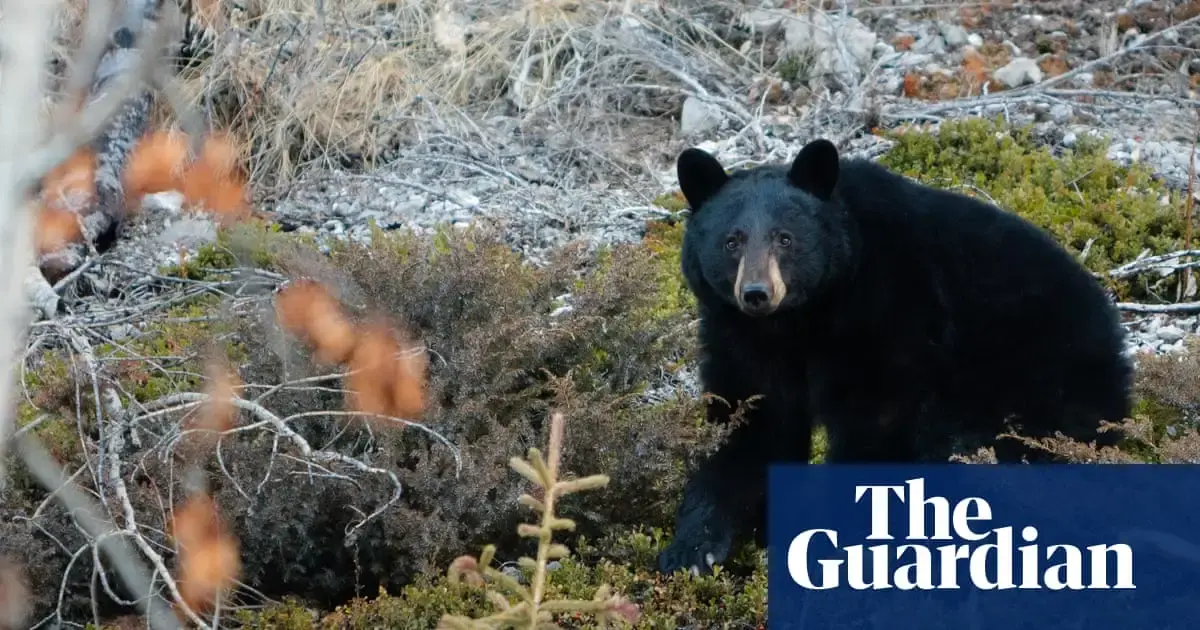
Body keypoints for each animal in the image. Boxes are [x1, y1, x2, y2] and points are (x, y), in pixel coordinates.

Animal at [657, 136, 1132, 573]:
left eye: (785, 239)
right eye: (731, 241)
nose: (756, 293)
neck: (801, 319)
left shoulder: (889, 310)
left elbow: (876, 423)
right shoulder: (740, 336)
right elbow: (751, 422)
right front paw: (693, 548)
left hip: (1037, 380)